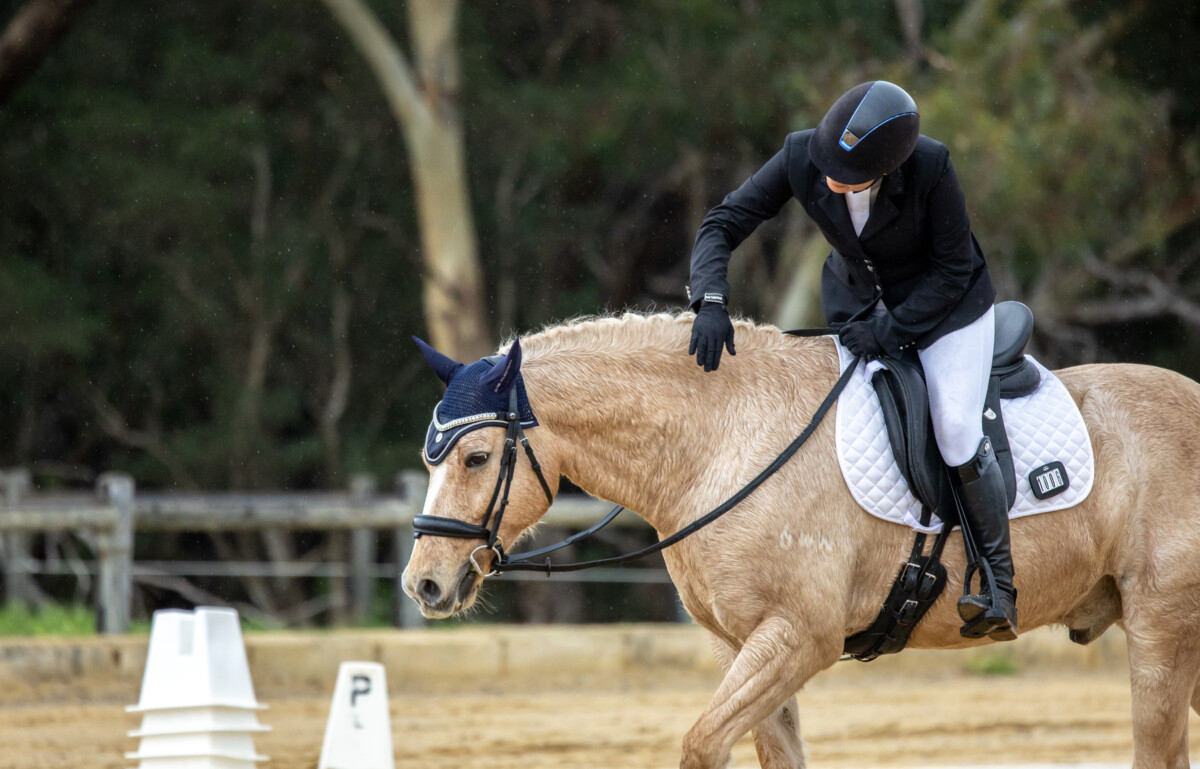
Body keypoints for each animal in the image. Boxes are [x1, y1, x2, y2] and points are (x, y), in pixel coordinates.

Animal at [402, 311, 1200, 769]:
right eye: (430, 460)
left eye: (476, 458)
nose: (424, 584)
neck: (718, 441)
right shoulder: (743, 645)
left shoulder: (798, 637)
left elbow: (700, 744)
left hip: (1160, 633)